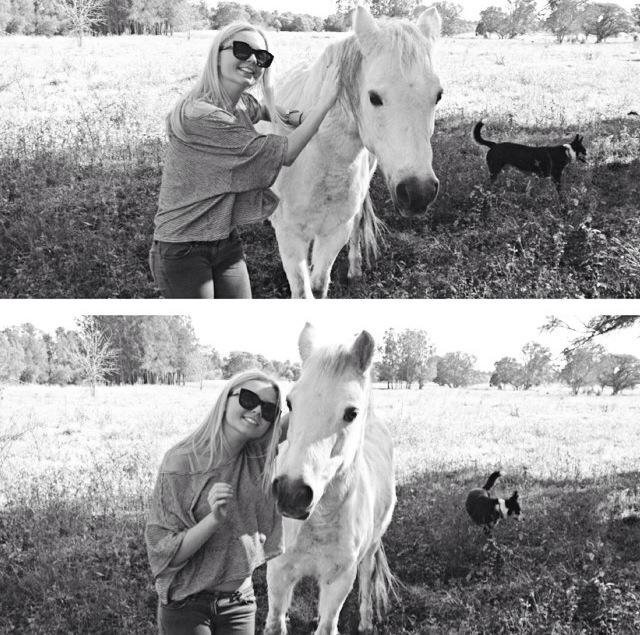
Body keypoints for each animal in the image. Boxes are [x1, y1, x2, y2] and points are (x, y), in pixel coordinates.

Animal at [264, 324, 396, 635]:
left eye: (352, 412)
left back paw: (366, 623)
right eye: (290, 402)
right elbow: (275, 623)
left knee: (366, 579)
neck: (319, 522)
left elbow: (327, 626)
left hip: (370, 549)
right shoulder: (278, 572)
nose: (291, 493)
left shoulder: (339, 581)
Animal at [265, 5, 443, 298]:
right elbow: (303, 290)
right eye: (374, 97)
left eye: (438, 96)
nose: (419, 192)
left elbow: (318, 284)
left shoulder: (336, 231)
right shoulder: (289, 235)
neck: (320, 158)